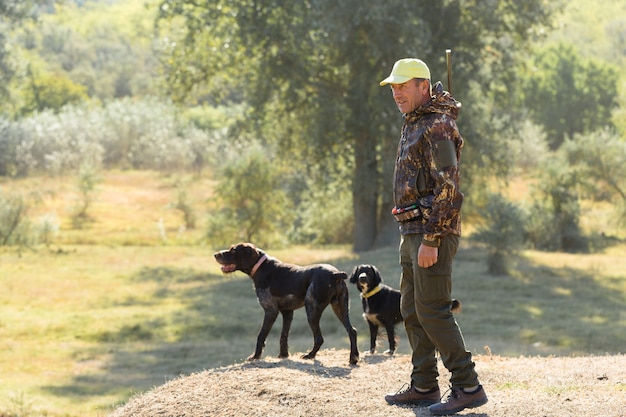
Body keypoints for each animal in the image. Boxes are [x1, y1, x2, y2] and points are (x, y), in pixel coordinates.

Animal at [213, 242, 356, 362]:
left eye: (233, 250)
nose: (215, 254)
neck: (261, 268)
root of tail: (335, 274)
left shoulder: (271, 311)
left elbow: (261, 335)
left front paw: (255, 357)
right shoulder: (287, 312)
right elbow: (284, 335)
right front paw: (283, 355)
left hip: (312, 310)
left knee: (319, 338)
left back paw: (310, 355)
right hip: (340, 308)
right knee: (352, 331)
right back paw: (353, 358)